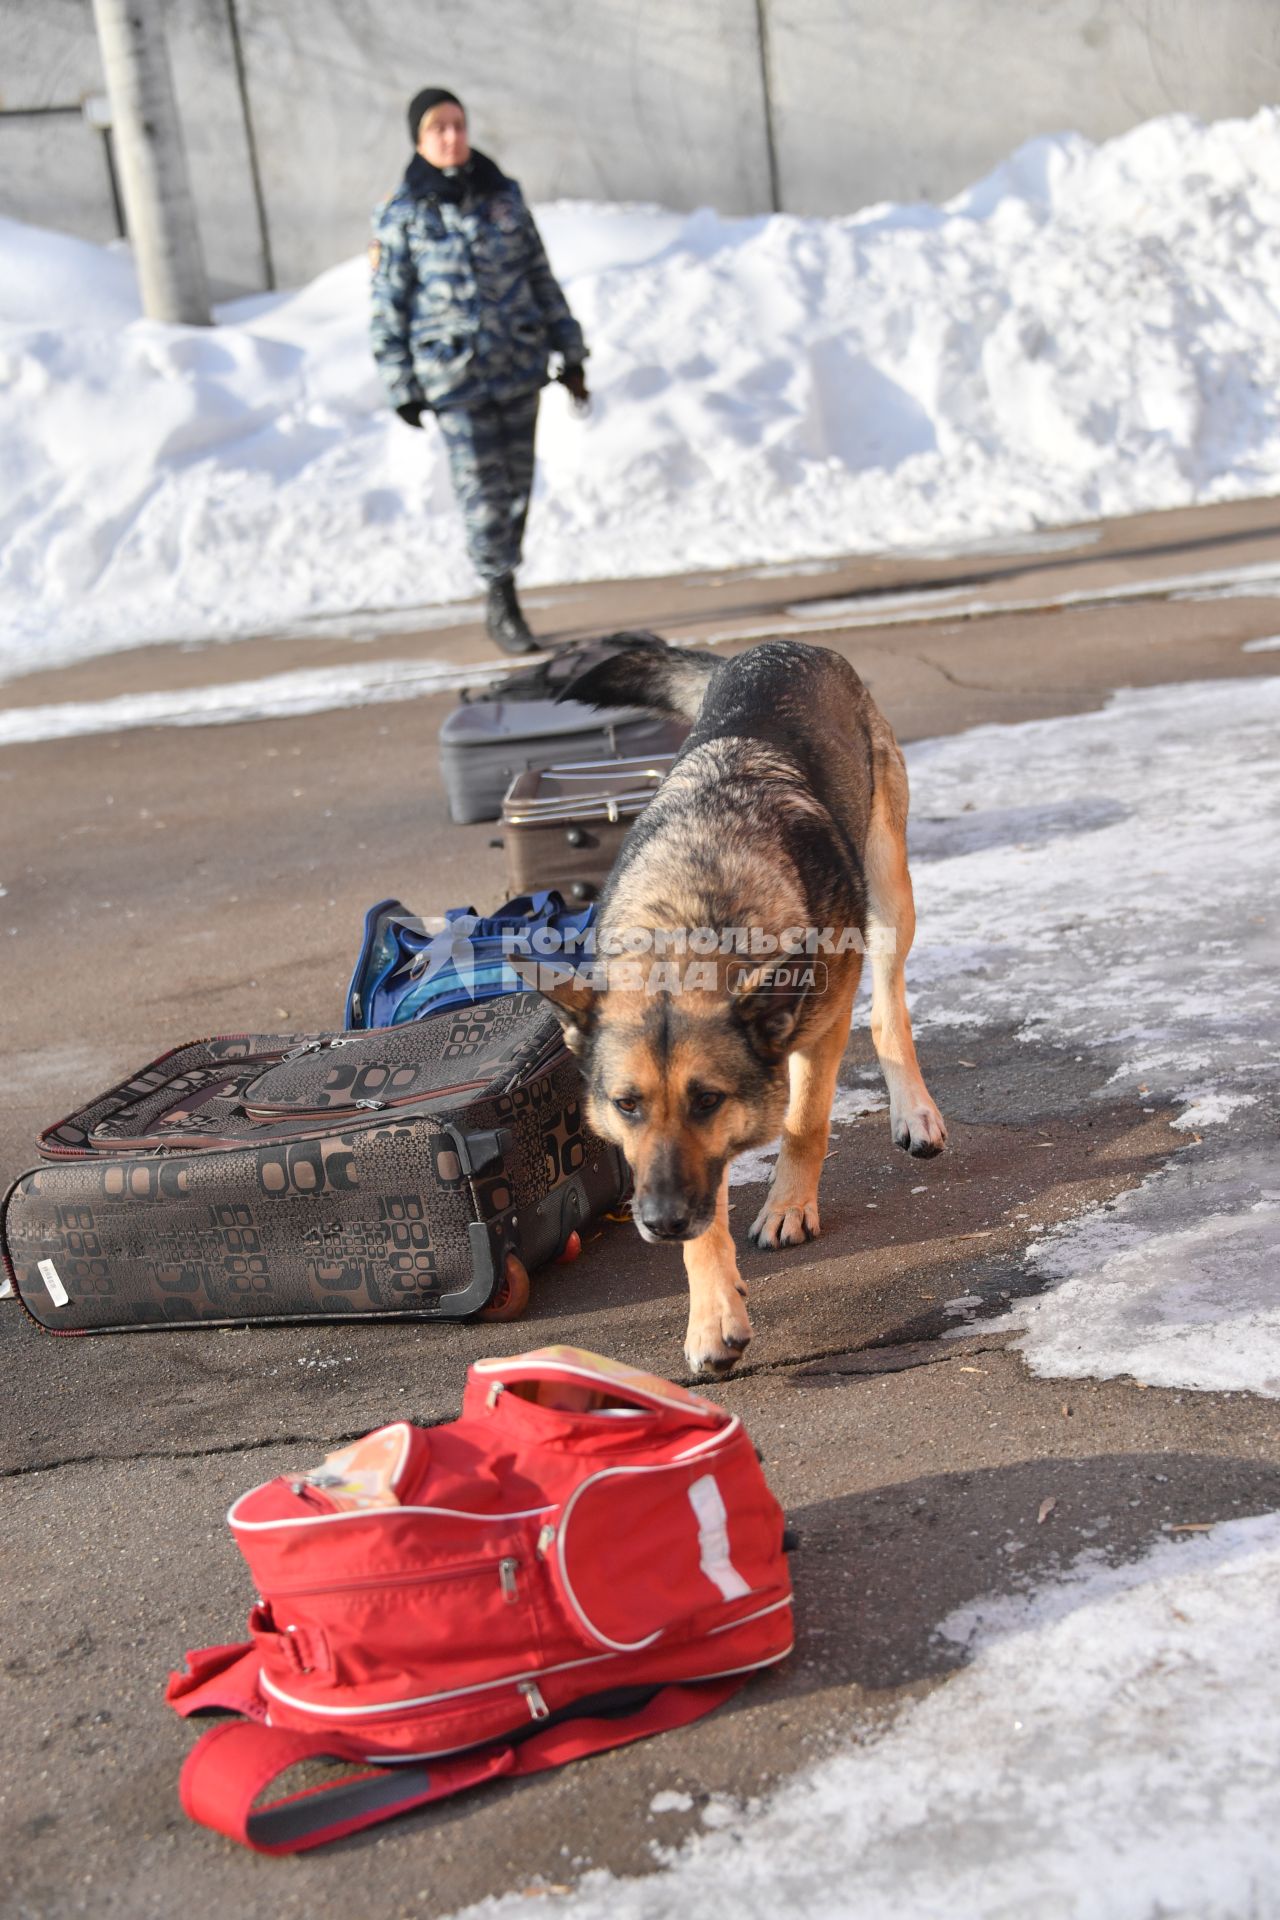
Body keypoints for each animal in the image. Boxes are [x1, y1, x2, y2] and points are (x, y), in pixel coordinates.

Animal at [514, 637, 948, 1374]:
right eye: (626, 1105)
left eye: (707, 1101)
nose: (658, 1222)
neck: (696, 905)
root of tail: (773, 648)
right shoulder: (679, 1167)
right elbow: (705, 1214)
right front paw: (712, 1314)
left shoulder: (818, 1029)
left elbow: (804, 1124)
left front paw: (788, 1207)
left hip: (888, 890)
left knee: (889, 1009)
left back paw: (913, 1111)